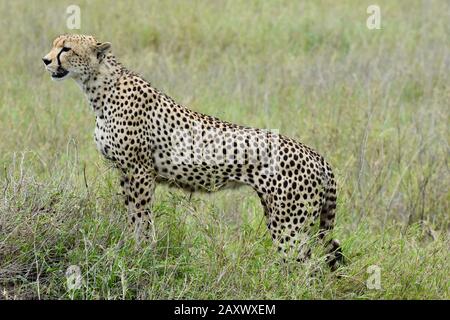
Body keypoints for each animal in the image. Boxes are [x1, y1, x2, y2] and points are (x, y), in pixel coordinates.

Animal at [44, 35, 342, 268]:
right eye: (54, 44)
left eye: (66, 48)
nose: (46, 60)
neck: (99, 88)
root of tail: (317, 155)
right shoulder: (125, 172)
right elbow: (131, 215)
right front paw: (129, 247)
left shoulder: (140, 171)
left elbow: (141, 217)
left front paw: (141, 253)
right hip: (280, 214)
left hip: (289, 222)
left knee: (306, 267)